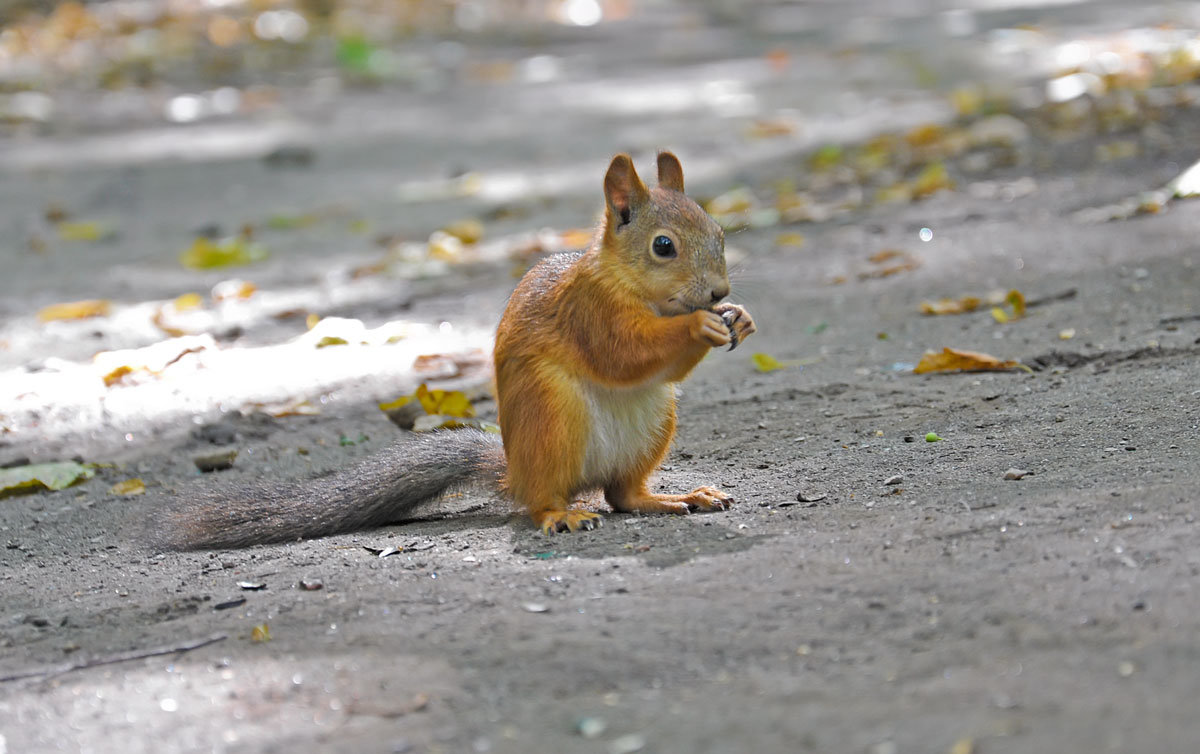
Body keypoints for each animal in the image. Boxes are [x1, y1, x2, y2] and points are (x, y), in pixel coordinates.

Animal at [147, 150, 748, 549]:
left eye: (720, 232)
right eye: (663, 246)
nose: (719, 293)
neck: (634, 288)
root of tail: (516, 471)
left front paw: (738, 319)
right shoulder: (589, 312)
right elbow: (623, 354)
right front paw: (700, 326)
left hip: (653, 423)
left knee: (623, 495)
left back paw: (672, 498)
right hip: (553, 419)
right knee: (543, 500)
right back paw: (561, 515)